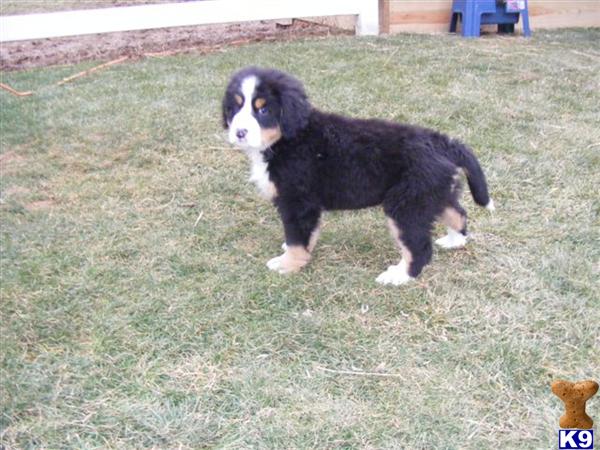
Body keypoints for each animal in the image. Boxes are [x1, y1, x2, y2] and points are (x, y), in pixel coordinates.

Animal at [220, 67, 492, 284]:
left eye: (263, 109)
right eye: (235, 107)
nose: (240, 132)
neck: (290, 139)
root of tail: (441, 142)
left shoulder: (298, 201)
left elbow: (298, 236)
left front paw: (288, 263)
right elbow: (302, 234)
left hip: (406, 205)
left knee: (419, 247)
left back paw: (399, 276)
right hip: (432, 194)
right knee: (458, 213)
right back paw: (454, 241)